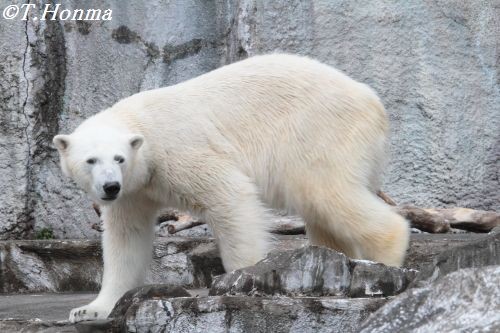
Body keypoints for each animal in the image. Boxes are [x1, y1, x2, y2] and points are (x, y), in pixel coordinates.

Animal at [52, 54, 408, 322]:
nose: (110, 186)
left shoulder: (177, 153)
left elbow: (230, 196)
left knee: (325, 192)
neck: (142, 126)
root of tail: (374, 102)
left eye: (119, 158)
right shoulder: (135, 191)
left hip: (320, 131)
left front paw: (240, 282)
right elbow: (126, 238)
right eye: (90, 160)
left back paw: (387, 259)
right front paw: (90, 309)